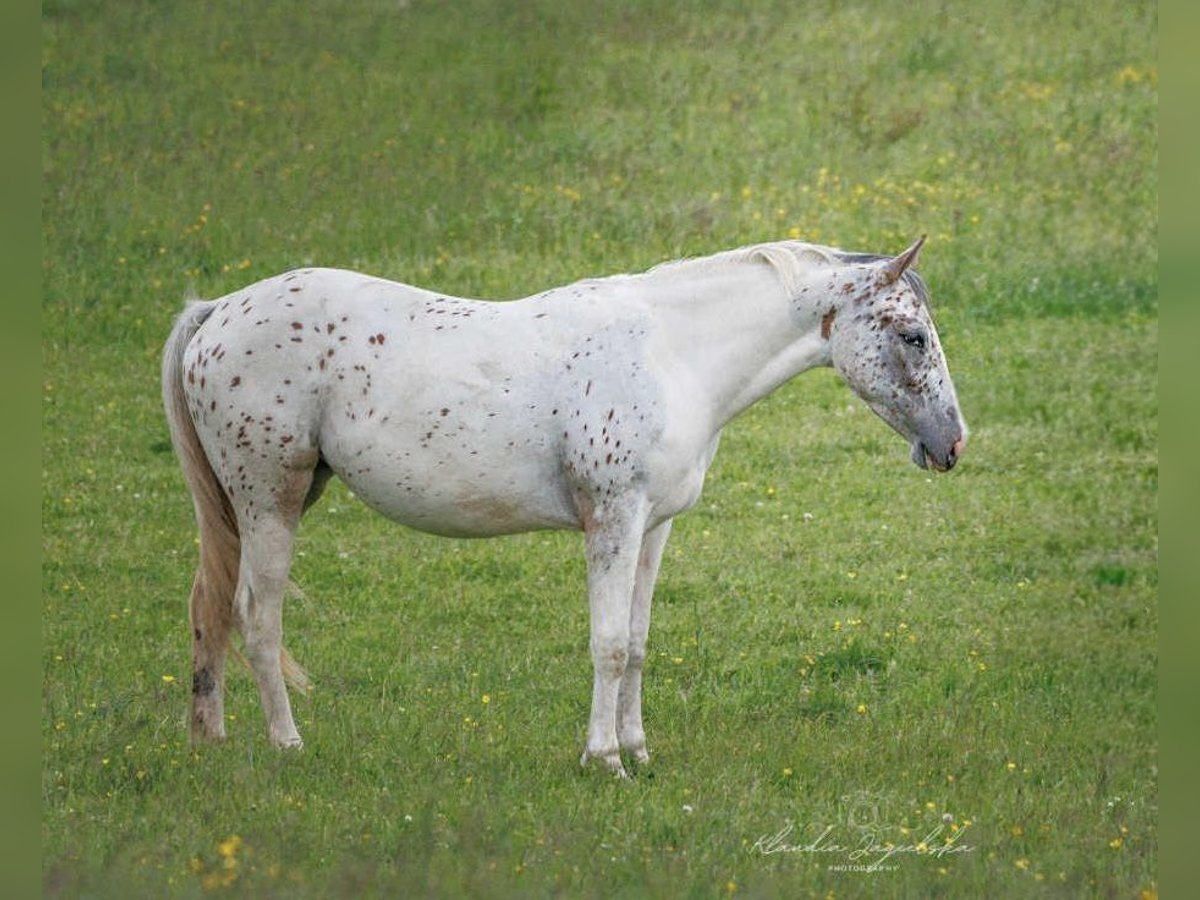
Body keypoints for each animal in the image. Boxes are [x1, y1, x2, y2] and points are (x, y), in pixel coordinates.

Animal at [162, 235, 967, 777]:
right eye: (912, 335)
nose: (952, 442)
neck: (671, 355)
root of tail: (217, 311)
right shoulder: (612, 519)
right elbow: (607, 643)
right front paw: (603, 758)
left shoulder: (653, 527)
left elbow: (636, 642)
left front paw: (639, 750)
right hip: (271, 499)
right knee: (255, 614)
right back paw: (286, 744)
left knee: (211, 608)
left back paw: (212, 736)